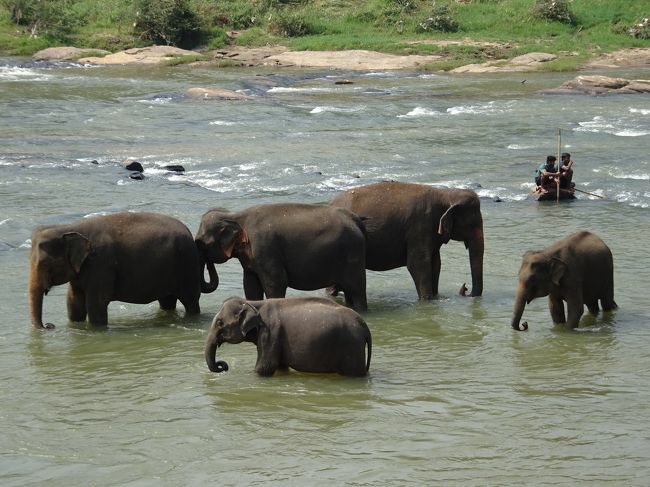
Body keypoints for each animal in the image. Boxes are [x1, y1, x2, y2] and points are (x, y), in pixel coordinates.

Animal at [28, 212, 218, 330]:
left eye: (45, 264)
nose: (49, 326)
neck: (69, 227)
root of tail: (190, 235)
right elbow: (74, 302)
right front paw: (76, 326)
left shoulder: (101, 265)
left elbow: (96, 304)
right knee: (167, 301)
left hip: (186, 266)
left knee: (190, 301)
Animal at [205, 298, 372, 378]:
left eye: (220, 323)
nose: (223, 366)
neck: (252, 303)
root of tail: (364, 326)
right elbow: (280, 366)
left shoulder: (270, 332)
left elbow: (264, 367)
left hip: (351, 347)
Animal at [330, 181, 480, 300]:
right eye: (472, 224)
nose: (465, 287)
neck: (446, 194)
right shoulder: (420, 226)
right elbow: (417, 264)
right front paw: (427, 300)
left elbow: (436, 263)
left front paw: (435, 297)